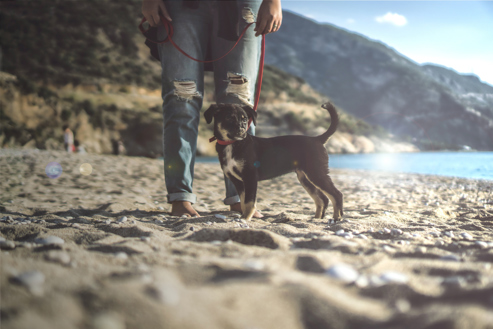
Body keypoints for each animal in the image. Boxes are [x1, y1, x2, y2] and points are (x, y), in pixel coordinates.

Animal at [204, 101, 342, 222]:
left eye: (244, 119)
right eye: (229, 118)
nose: (242, 132)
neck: (232, 144)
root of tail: (318, 139)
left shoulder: (250, 177)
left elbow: (249, 202)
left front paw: (245, 218)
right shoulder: (237, 181)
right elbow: (243, 201)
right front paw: (244, 217)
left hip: (316, 172)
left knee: (336, 194)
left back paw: (337, 218)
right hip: (305, 178)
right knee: (322, 199)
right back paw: (316, 218)